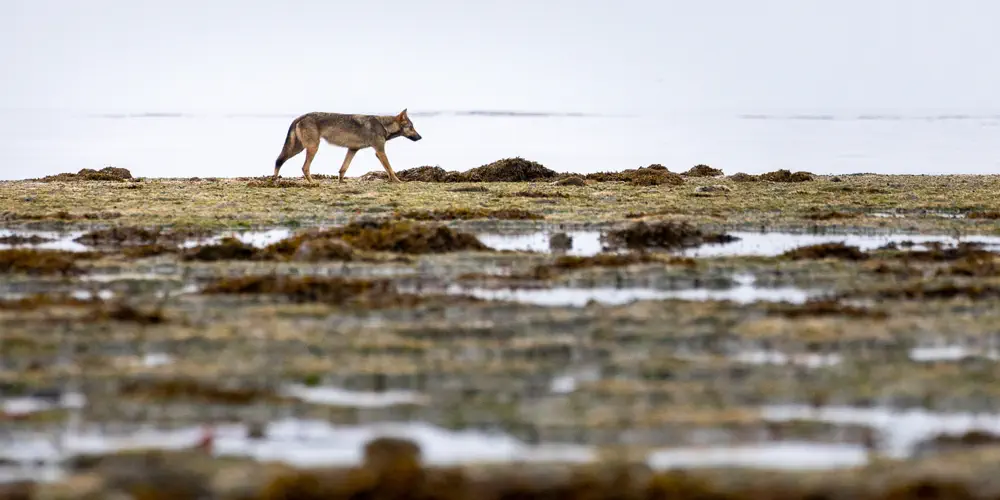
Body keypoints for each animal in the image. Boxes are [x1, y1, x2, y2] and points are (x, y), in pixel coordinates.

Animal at [273, 109, 422, 183]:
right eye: (411, 127)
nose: (420, 137)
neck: (383, 125)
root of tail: (301, 116)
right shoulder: (379, 151)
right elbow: (390, 168)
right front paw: (398, 181)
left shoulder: (353, 149)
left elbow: (343, 169)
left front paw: (341, 181)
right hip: (312, 148)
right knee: (304, 167)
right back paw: (313, 183)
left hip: (298, 149)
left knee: (278, 160)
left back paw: (274, 180)